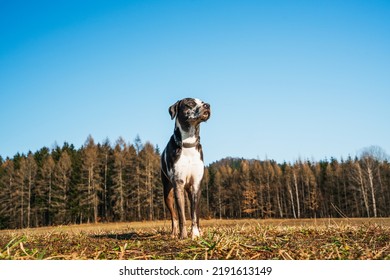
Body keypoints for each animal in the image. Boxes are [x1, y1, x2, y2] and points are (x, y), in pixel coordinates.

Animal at [161, 98, 212, 238]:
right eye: (190, 103)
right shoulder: (178, 184)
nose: (207, 105)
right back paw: (174, 233)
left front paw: (195, 234)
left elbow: (195, 215)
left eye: (203, 101)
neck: (188, 144)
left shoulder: (196, 185)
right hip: (168, 193)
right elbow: (181, 216)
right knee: (173, 216)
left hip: (189, 191)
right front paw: (183, 235)